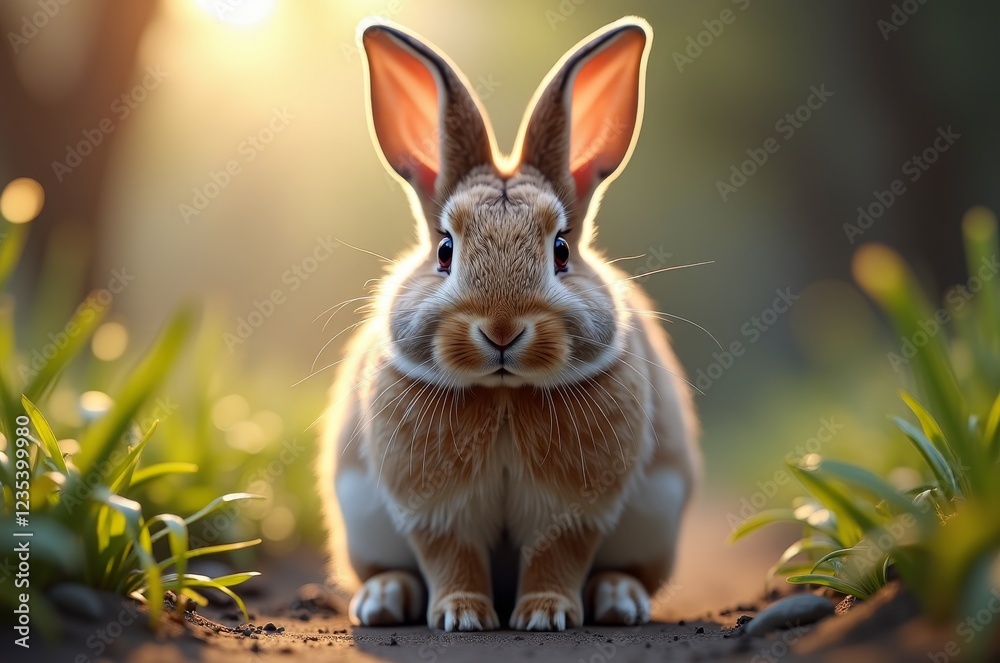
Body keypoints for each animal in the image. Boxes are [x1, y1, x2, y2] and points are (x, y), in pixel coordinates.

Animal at [317, 15, 700, 632]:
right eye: (446, 251)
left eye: (561, 250)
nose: (501, 330)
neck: (502, 393)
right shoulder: (433, 510)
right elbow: (451, 556)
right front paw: (462, 616)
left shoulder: (574, 511)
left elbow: (556, 556)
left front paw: (545, 615)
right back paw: (384, 599)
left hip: (656, 519)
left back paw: (618, 600)